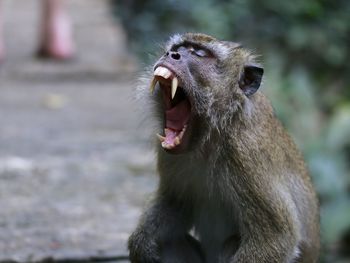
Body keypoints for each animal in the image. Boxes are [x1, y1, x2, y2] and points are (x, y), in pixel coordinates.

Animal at [129, 33, 320, 263]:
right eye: (178, 48)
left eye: (199, 53)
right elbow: (176, 202)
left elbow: (277, 238)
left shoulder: (246, 154)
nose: (171, 54)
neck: (216, 132)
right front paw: (141, 242)